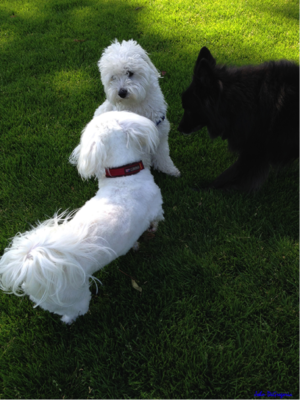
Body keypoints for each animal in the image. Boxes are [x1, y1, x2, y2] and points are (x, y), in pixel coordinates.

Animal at [0, 111, 164, 324]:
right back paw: (71, 319)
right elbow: (156, 220)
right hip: (74, 297)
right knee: (76, 310)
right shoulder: (156, 207)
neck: (124, 178)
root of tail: (30, 263)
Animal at [91, 38, 179, 177]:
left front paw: (169, 169)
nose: (121, 92)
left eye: (129, 72)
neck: (137, 104)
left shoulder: (160, 133)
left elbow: (163, 155)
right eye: (113, 77)